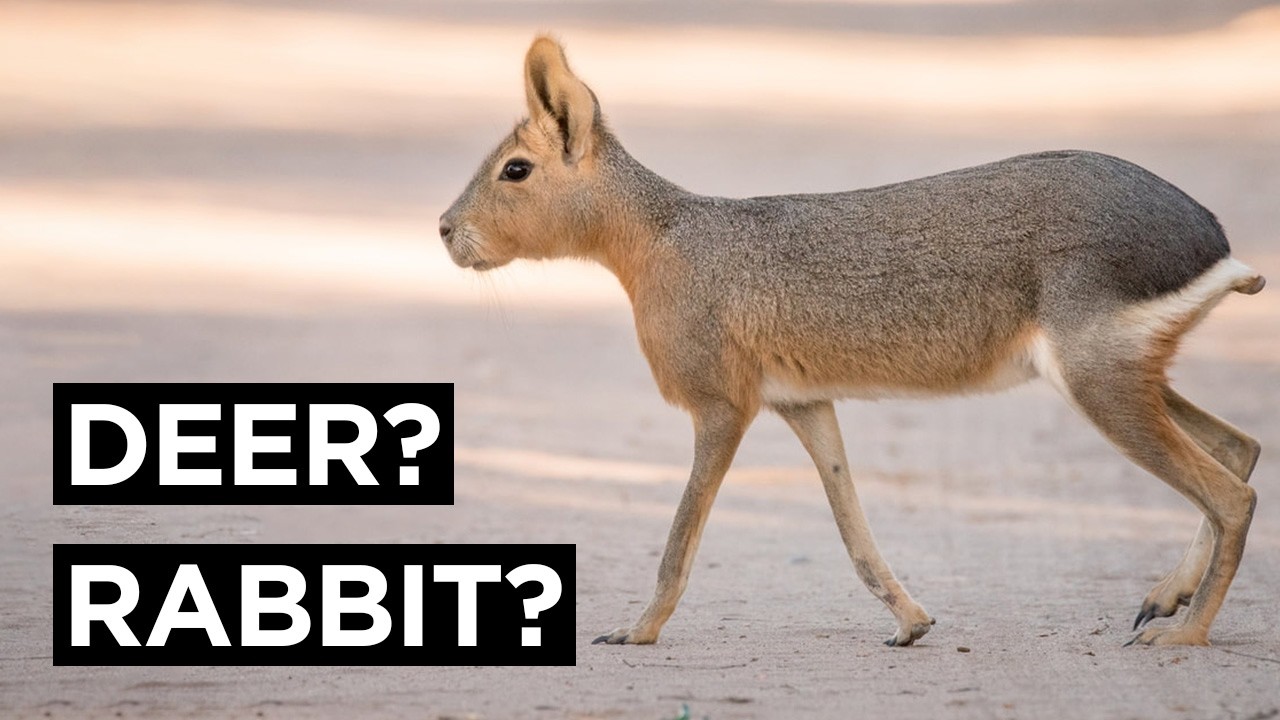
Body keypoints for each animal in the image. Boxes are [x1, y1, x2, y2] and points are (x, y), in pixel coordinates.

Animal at [439, 36, 1264, 648]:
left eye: (515, 169)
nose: (446, 230)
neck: (658, 243)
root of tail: (1211, 238)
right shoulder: (804, 403)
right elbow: (851, 525)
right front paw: (912, 621)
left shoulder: (720, 406)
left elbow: (678, 537)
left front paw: (635, 631)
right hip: (1118, 374)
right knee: (1240, 448)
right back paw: (1165, 599)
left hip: (1097, 380)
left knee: (1233, 492)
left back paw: (1184, 633)